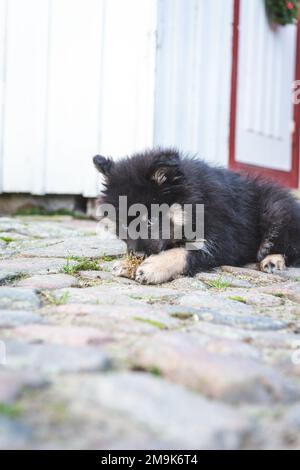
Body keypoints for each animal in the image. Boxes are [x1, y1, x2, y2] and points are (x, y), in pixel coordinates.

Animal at [92, 149, 300, 284]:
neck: (196, 200)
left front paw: (154, 266)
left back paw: (273, 260)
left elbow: (185, 252)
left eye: (150, 220)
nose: (138, 255)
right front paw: (127, 263)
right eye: (122, 225)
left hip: (275, 208)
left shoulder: (226, 241)